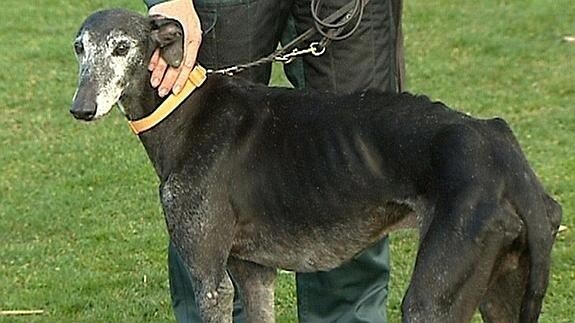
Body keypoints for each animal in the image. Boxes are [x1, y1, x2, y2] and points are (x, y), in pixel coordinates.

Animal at [71, 8, 564, 322]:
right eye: (79, 47)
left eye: (121, 47)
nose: (81, 109)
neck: (184, 111)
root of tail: (506, 154)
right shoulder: (255, 274)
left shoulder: (211, 280)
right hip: (500, 289)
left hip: (434, 297)